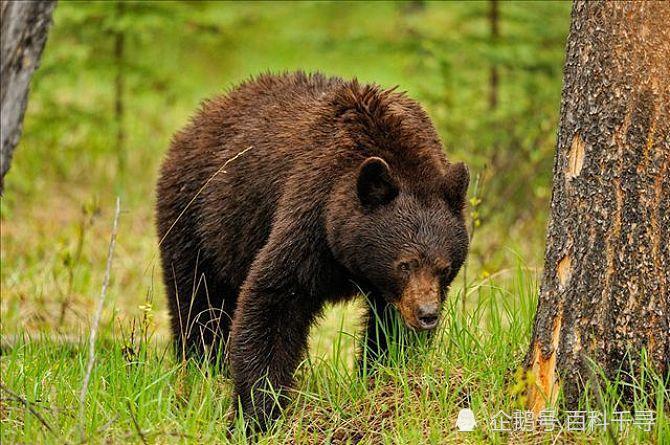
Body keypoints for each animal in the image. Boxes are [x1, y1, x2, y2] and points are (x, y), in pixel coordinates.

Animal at [158, 71, 472, 428]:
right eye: (404, 264)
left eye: (444, 267)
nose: (426, 315)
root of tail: (201, 116)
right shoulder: (311, 216)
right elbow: (274, 297)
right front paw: (256, 413)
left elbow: (389, 330)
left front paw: (385, 375)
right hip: (197, 219)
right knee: (198, 302)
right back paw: (201, 366)